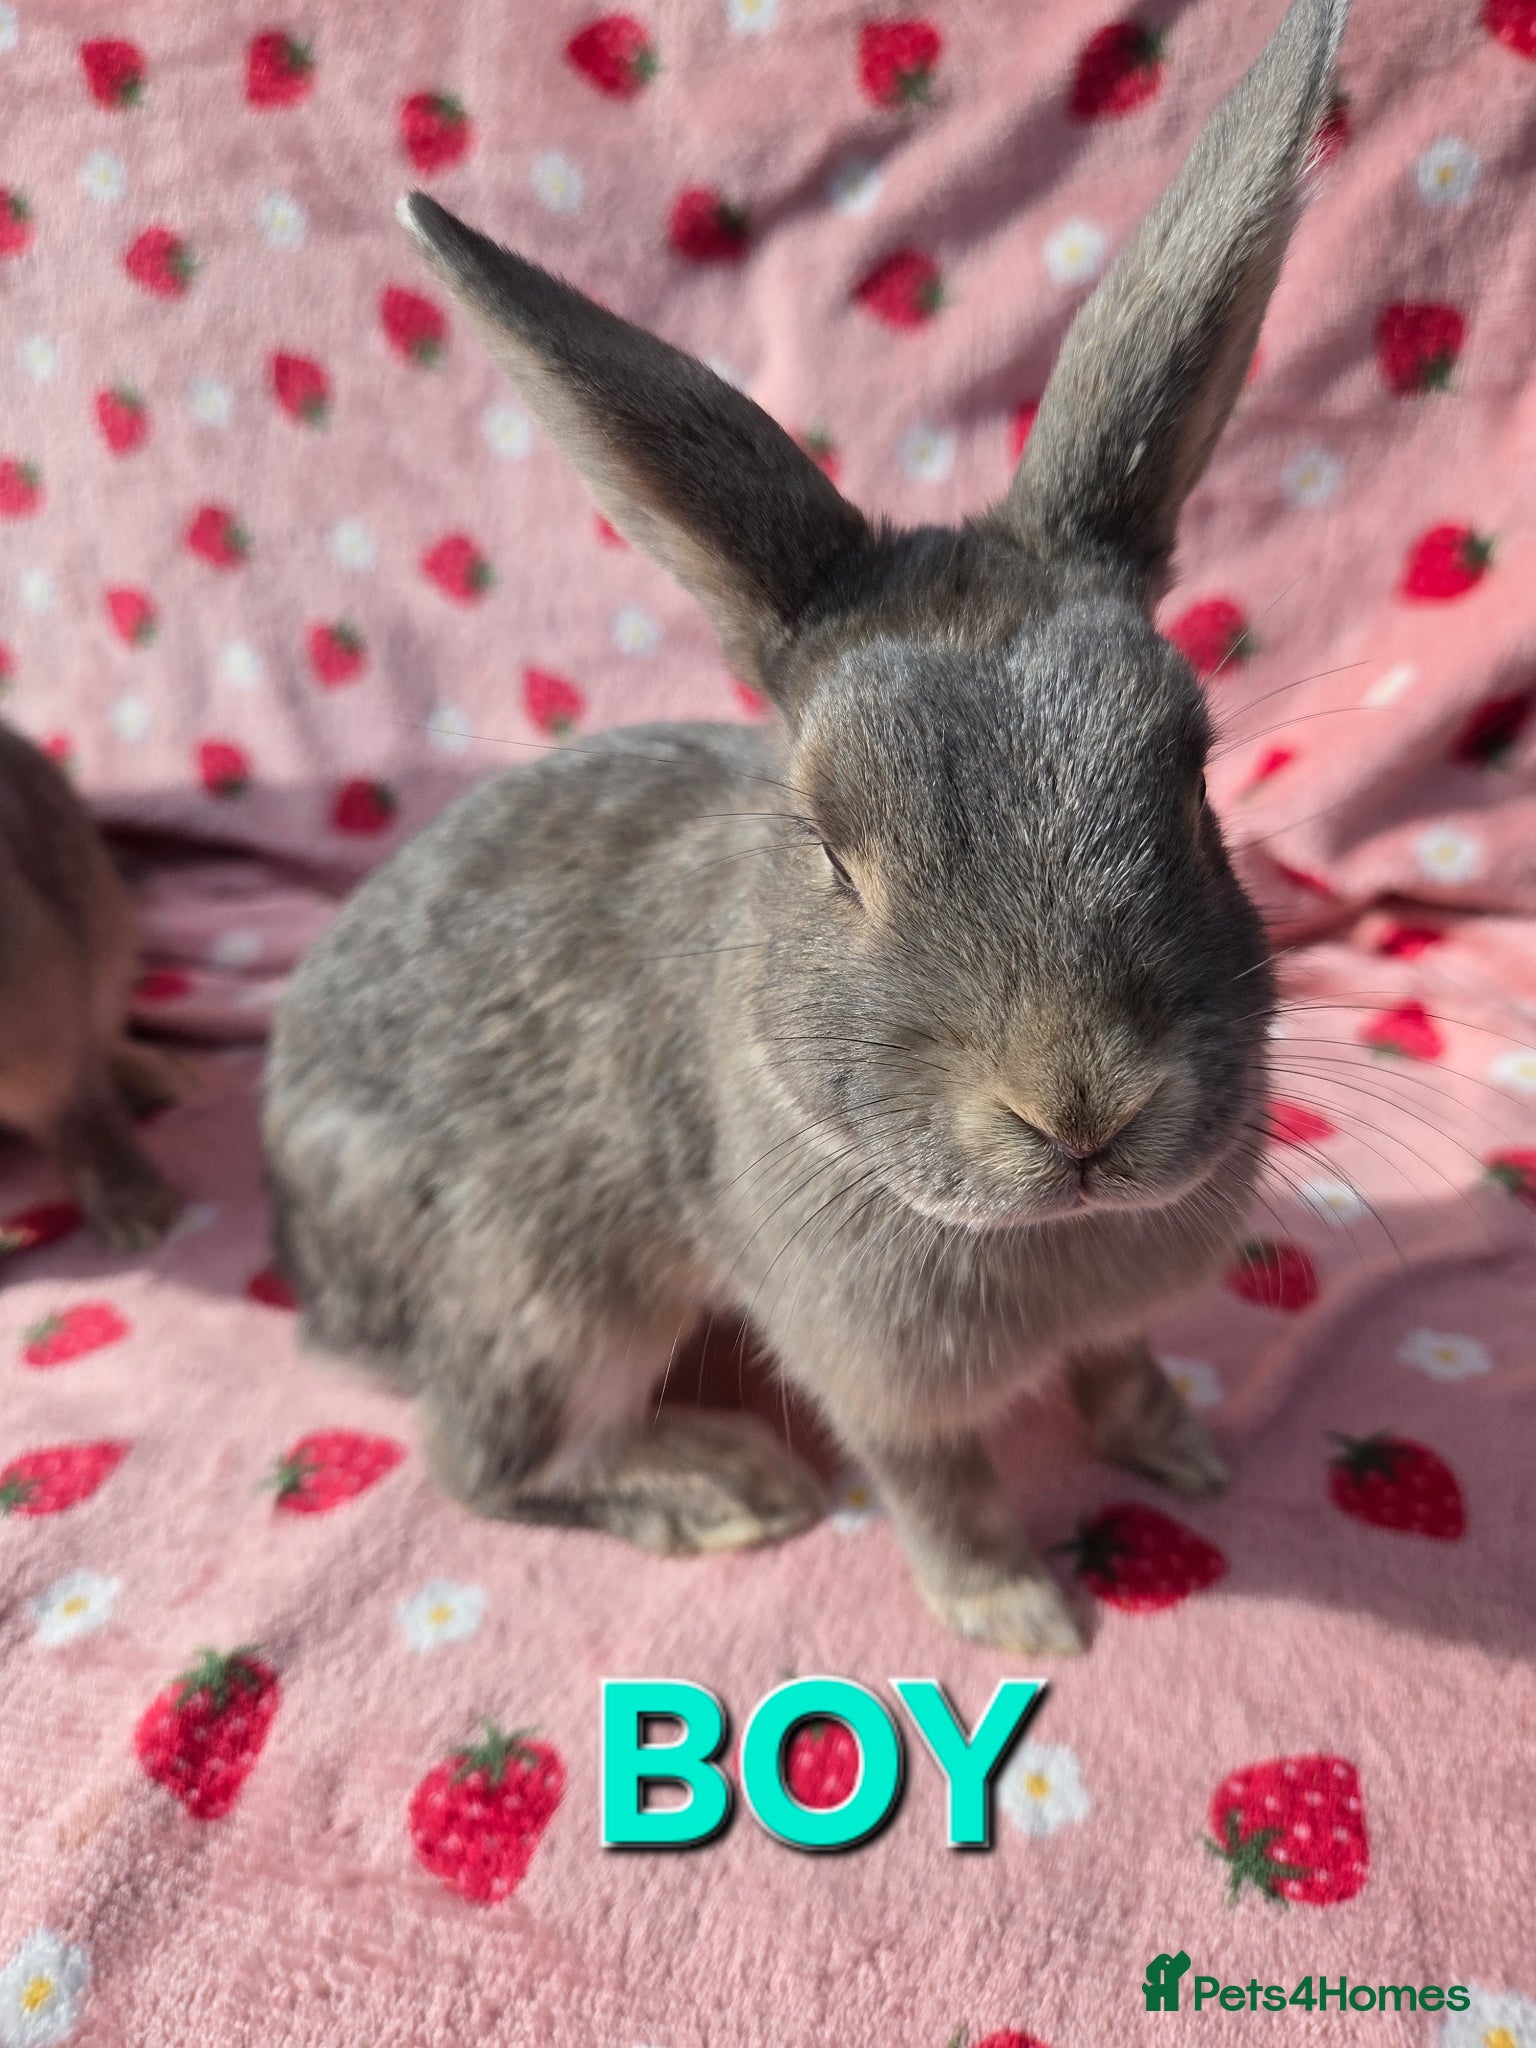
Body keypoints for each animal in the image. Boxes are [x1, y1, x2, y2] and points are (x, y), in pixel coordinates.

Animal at [262, 0, 1346, 1655]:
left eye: (1193, 774)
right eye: (833, 848)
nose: (1080, 1111)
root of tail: (310, 1269)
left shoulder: (1107, 1315)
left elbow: (1116, 1366)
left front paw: (1182, 1447)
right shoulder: (871, 1373)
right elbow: (935, 1483)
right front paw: (1018, 1617)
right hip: (547, 1302)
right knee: (482, 1462)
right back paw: (719, 1485)